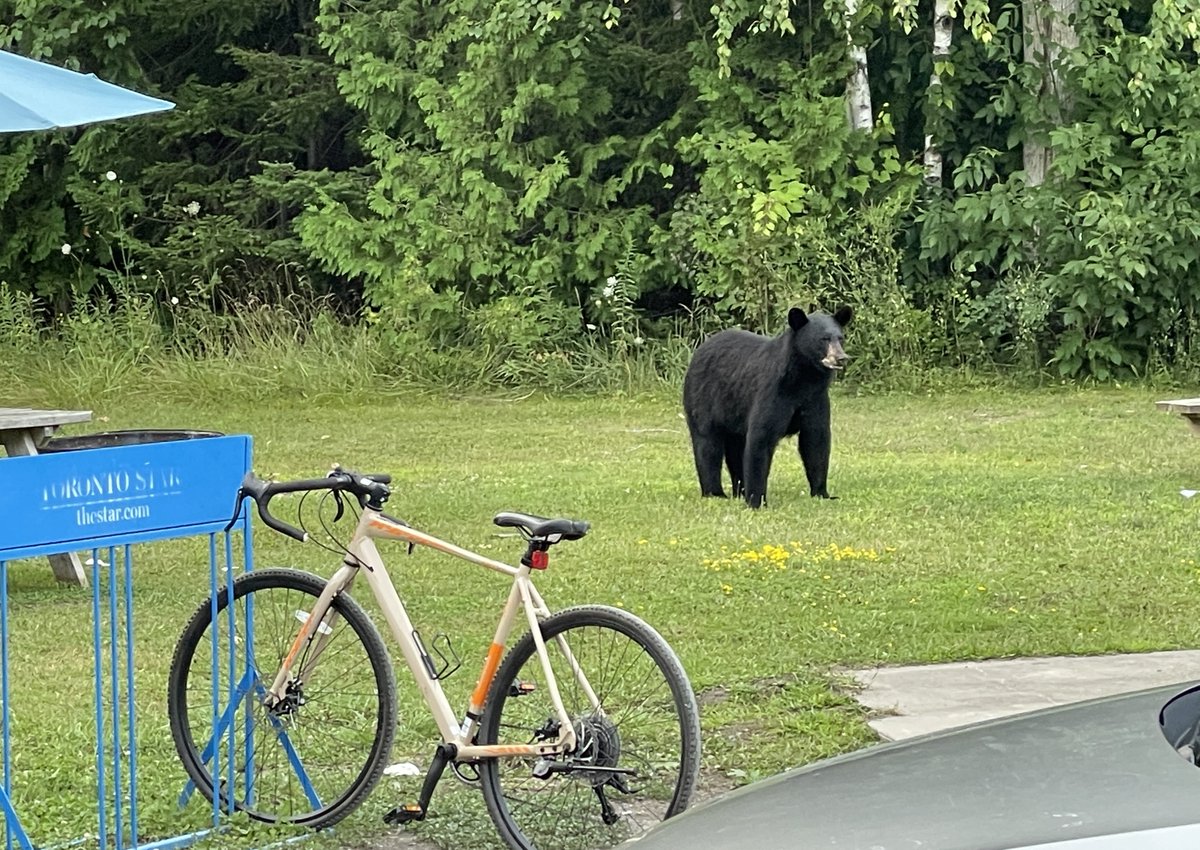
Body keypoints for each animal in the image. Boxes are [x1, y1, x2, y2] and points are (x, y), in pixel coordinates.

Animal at [682, 305, 852, 509]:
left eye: (840, 338)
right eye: (824, 339)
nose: (841, 358)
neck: (803, 378)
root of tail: (699, 350)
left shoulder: (815, 399)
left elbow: (816, 441)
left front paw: (822, 493)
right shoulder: (773, 392)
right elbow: (761, 438)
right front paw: (756, 501)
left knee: (736, 449)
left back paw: (739, 491)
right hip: (703, 398)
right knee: (707, 444)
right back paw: (715, 493)